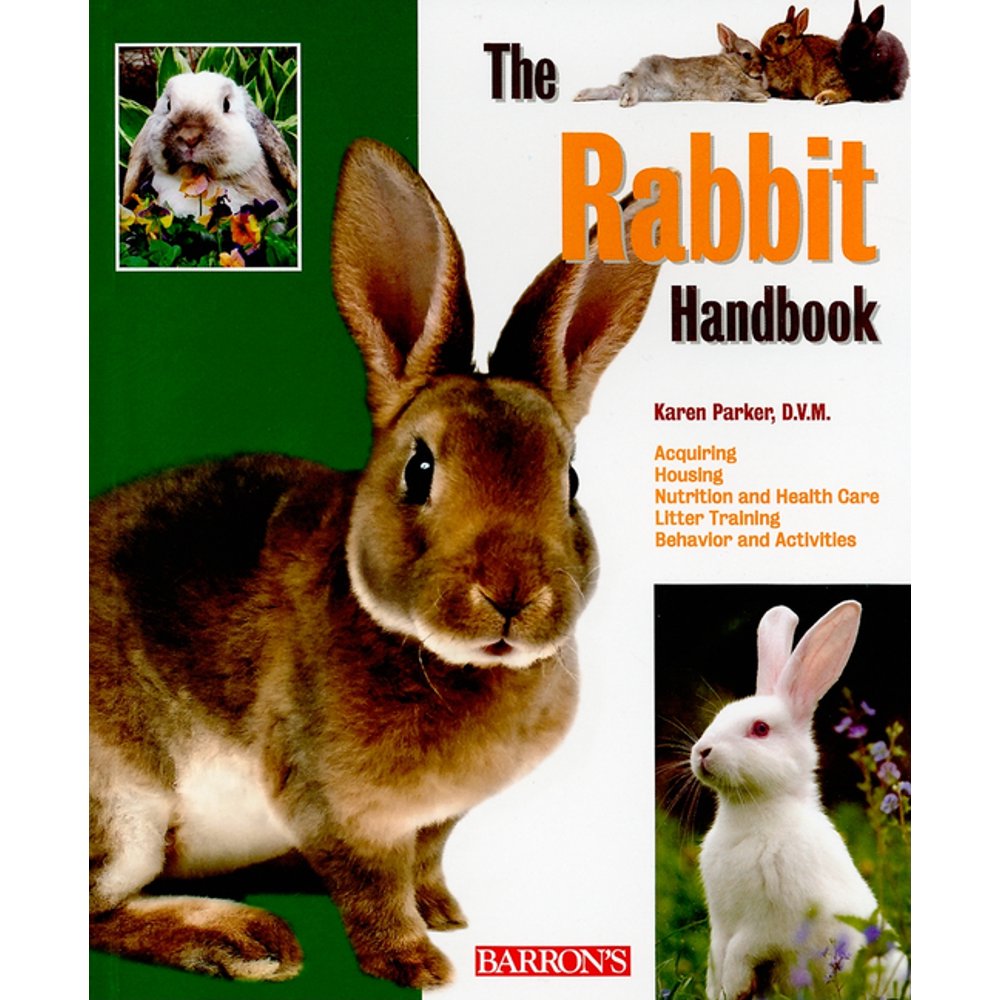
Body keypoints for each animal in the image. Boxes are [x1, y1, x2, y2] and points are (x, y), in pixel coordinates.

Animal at [90, 138, 661, 987]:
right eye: (418, 470)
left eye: (571, 482)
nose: (511, 595)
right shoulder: (335, 806)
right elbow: (370, 887)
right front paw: (417, 963)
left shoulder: (434, 821)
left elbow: (423, 864)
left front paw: (446, 915)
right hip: (126, 808)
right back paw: (246, 941)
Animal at [574, 23, 769, 106]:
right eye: (746, 55)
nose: (762, 68)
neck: (733, 64)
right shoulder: (725, 86)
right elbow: (741, 93)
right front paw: (760, 97)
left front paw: (763, 94)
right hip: (644, 80)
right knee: (631, 83)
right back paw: (627, 100)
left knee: (612, 89)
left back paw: (581, 95)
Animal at [690, 601, 909, 999]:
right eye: (719, 717)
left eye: (760, 729)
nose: (702, 751)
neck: (752, 815)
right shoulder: (721, 926)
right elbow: (717, 957)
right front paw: (720, 991)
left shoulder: (771, 924)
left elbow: (741, 951)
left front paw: (735, 986)